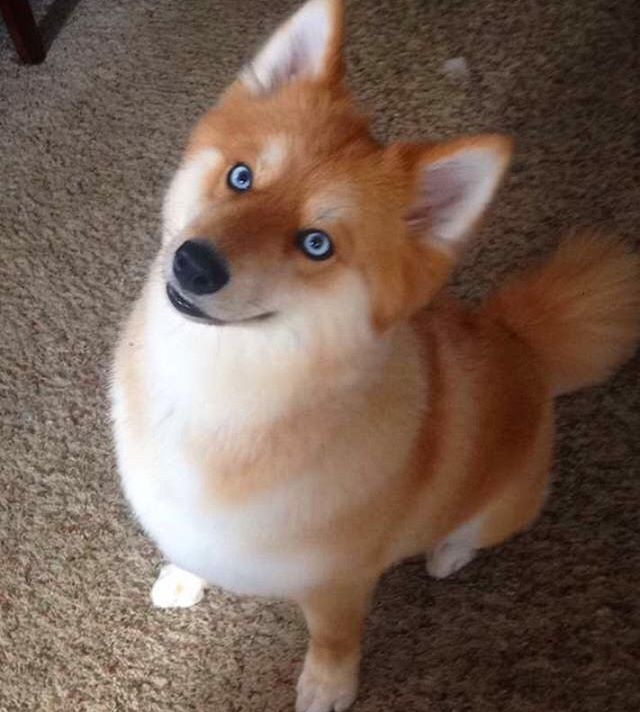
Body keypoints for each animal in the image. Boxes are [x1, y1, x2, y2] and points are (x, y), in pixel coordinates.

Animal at [110, 0, 640, 710]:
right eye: (241, 177)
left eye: (316, 244)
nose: (194, 263)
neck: (223, 388)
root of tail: (522, 341)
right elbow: (192, 547)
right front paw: (183, 574)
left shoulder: (340, 582)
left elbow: (335, 640)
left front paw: (328, 686)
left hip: (509, 498)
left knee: (477, 531)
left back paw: (448, 553)